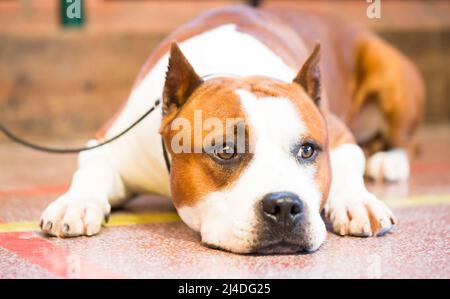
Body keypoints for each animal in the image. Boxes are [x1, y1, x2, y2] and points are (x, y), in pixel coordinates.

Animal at [40, 5, 424, 254]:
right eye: (225, 150)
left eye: (308, 150)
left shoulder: (339, 135)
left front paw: (357, 201)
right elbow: (90, 172)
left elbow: (347, 165)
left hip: (389, 71)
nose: (285, 205)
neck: (237, 66)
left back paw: (389, 160)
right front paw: (74, 203)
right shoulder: (106, 144)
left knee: (401, 140)